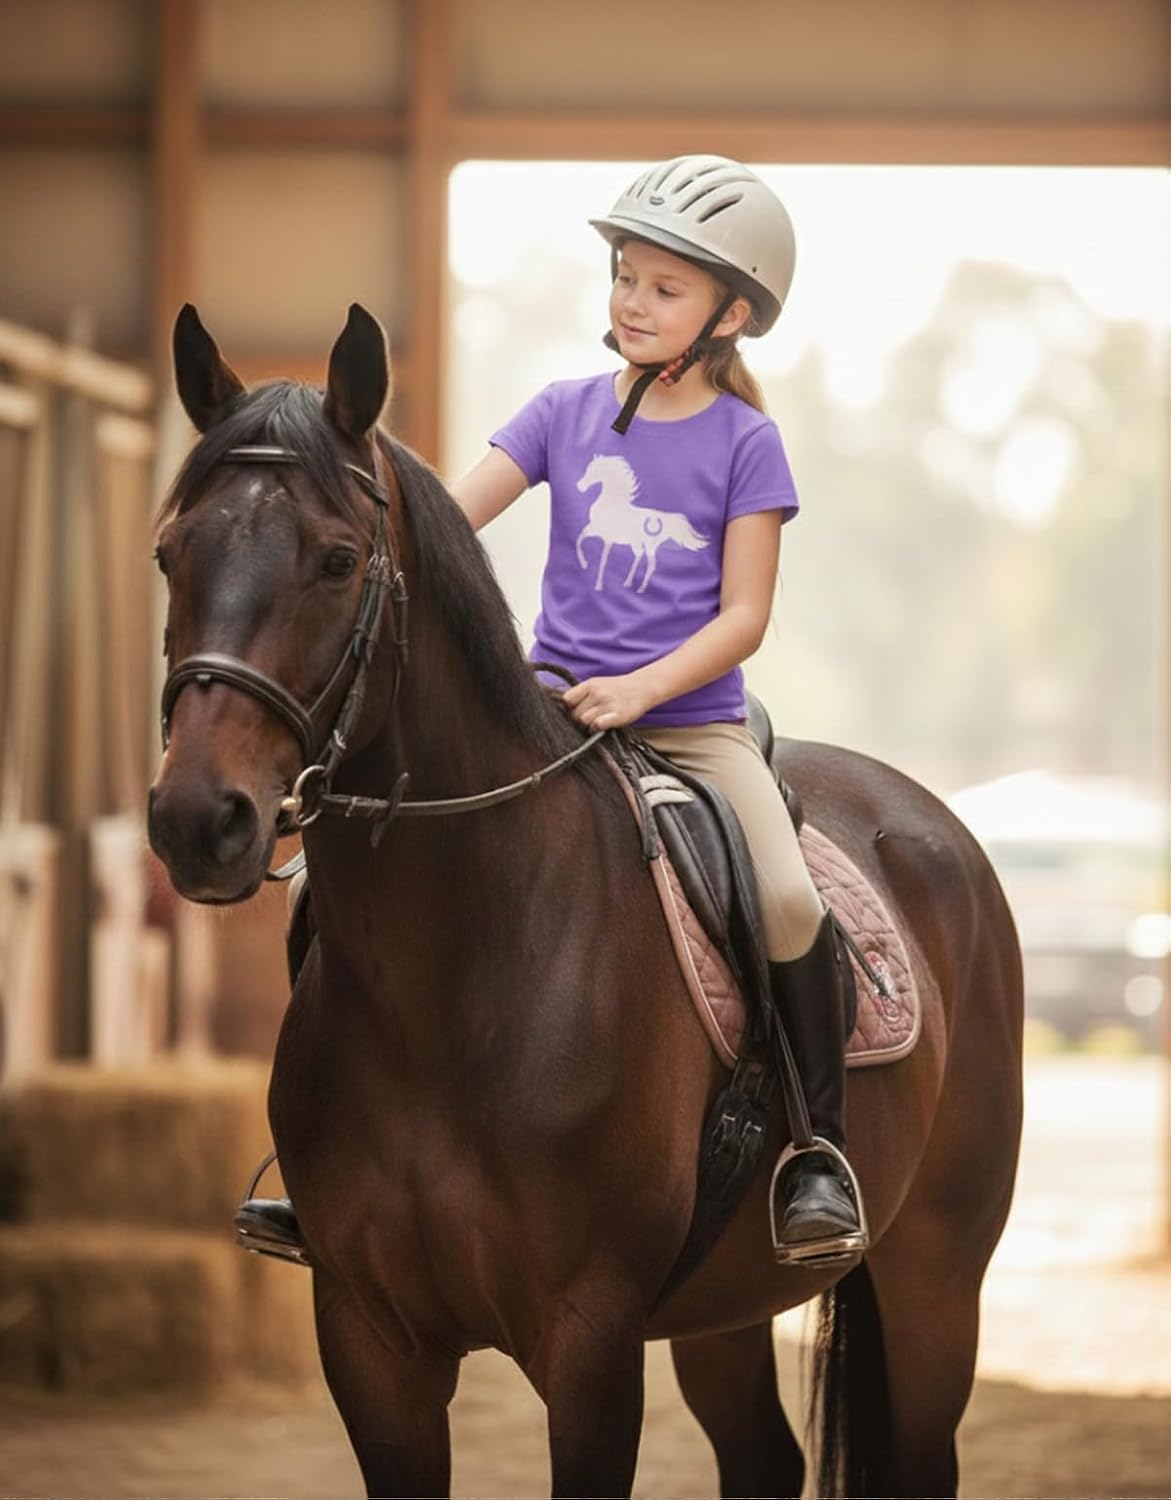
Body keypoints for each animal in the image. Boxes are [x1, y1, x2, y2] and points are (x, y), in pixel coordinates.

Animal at [574, 452, 708, 592]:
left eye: (594, 471)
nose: (580, 486)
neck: (612, 505)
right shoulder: (594, 529)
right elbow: (580, 539)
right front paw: (584, 564)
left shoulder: (608, 538)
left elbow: (603, 559)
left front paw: (598, 585)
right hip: (636, 543)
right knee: (639, 555)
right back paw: (628, 582)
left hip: (649, 545)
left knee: (651, 565)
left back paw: (641, 589)